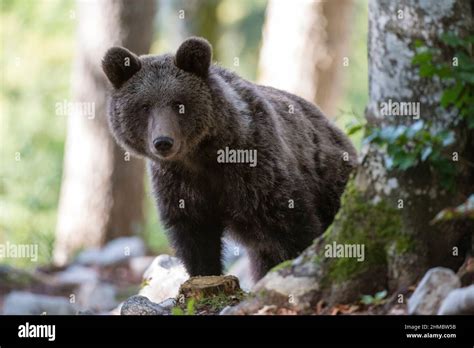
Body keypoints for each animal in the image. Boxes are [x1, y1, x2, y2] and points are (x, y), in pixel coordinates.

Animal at [103, 37, 356, 280]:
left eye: (179, 103)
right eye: (144, 106)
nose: (163, 141)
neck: (201, 157)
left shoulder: (255, 169)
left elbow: (293, 227)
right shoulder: (178, 184)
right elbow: (195, 240)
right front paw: (204, 273)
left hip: (330, 179)